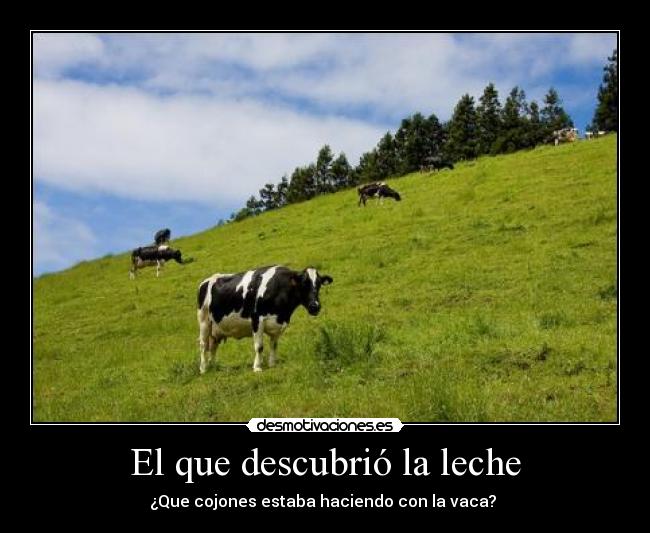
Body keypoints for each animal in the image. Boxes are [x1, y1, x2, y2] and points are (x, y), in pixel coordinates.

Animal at [196, 266, 333, 374]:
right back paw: (203, 368)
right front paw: (257, 367)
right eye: (304, 284)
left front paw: (272, 364)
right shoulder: (257, 320)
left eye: (319, 284)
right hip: (204, 321)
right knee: (203, 345)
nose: (315, 306)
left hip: (215, 328)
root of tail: (206, 280)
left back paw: (214, 366)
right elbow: (259, 346)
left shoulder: (278, 324)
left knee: (213, 346)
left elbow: (274, 345)